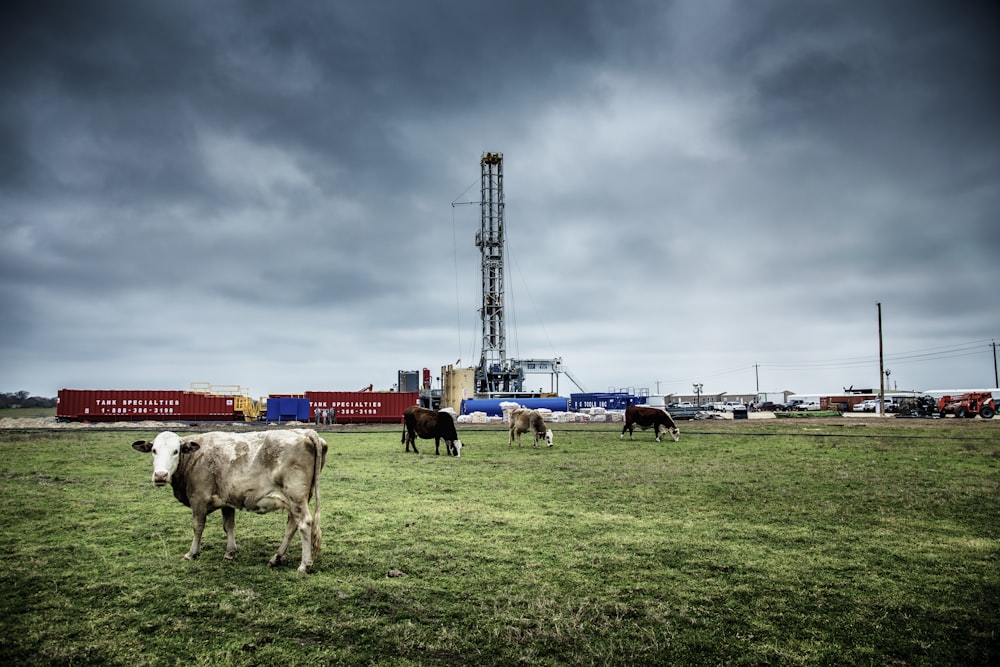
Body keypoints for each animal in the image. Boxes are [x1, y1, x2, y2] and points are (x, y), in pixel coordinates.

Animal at [131, 430, 328, 576]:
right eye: (154, 450)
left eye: (175, 451)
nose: (160, 475)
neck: (195, 457)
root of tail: (305, 432)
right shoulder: (226, 500)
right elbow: (229, 526)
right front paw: (230, 553)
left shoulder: (198, 498)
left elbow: (198, 527)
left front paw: (192, 553)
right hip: (296, 500)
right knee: (292, 526)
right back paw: (276, 558)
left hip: (296, 496)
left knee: (304, 524)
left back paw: (304, 565)